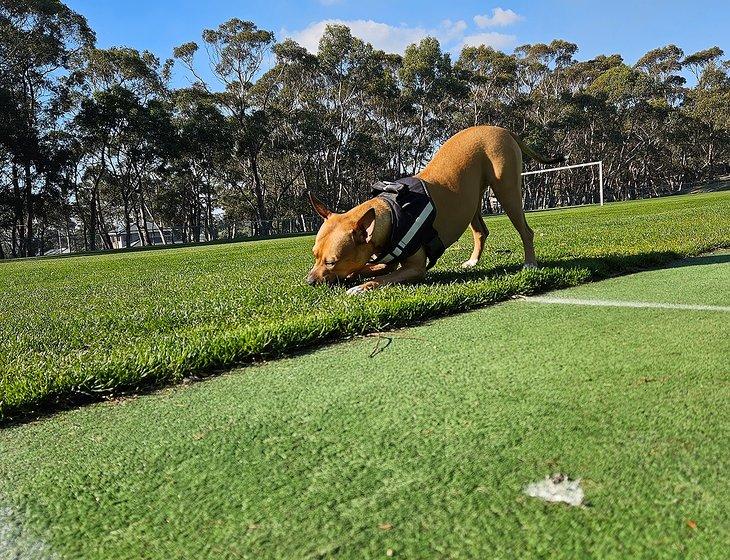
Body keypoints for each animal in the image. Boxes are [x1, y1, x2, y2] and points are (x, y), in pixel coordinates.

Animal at [306, 125, 564, 296]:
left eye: (332, 261)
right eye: (314, 255)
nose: (309, 281)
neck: (391, 211)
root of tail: (502, 129)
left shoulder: (414, 268)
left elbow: (383, 278)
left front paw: (360, 287)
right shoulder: (386, 261)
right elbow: (367, 268)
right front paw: (353, 276)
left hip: (507, 191)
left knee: (526, 231)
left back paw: (530, 263)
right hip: (472, 201)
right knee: (481, 231)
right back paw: (473, 261)